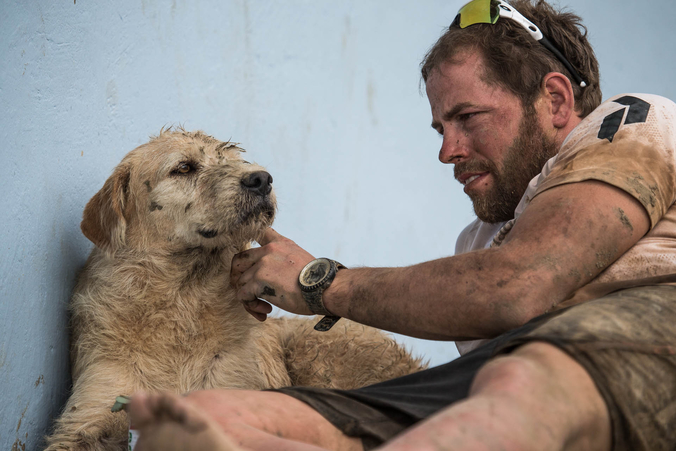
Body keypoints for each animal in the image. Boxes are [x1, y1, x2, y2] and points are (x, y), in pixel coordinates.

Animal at [47, 129, 426, 450]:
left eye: (235, 159)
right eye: (183, 167)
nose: (262, 179)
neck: (182, 295)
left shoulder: (234, 390)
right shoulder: (91, 411)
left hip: (315, 347)